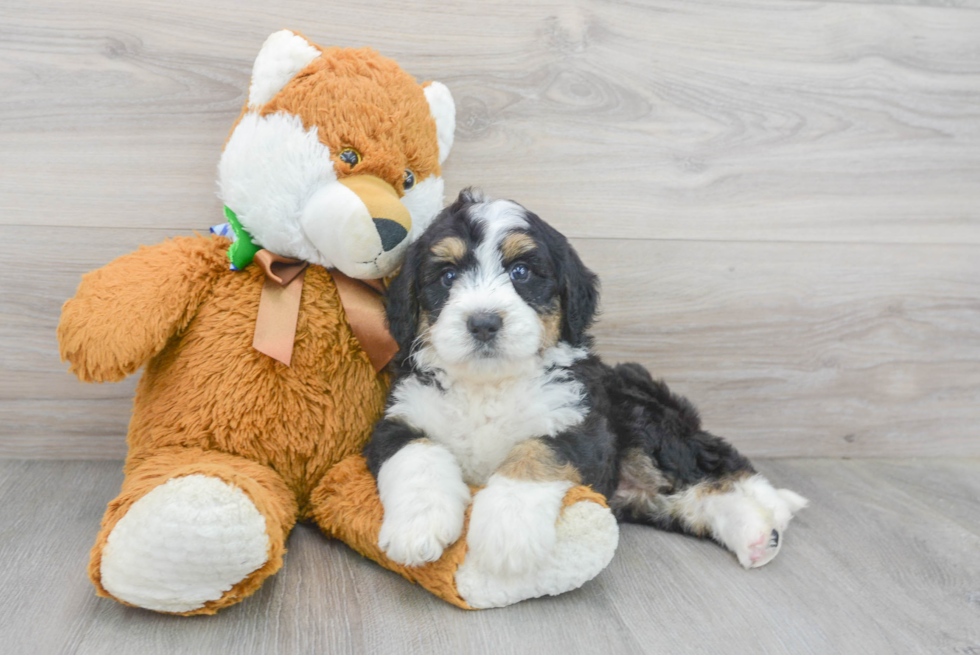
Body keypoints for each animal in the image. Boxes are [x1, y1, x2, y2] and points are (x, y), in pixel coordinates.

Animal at [364, 190, 808, 580]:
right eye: (448, 276)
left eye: (521, 272)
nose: (484, 322)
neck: (489, 384)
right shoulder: (398, 419)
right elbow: (419, 455)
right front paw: (417, 527)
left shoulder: (580, 423)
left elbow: (533, 453)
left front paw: (508, 534)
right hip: (638, 492)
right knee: (686, 503)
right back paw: (755, 535)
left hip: (645, 418)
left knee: (718, 467)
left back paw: (774, 508)